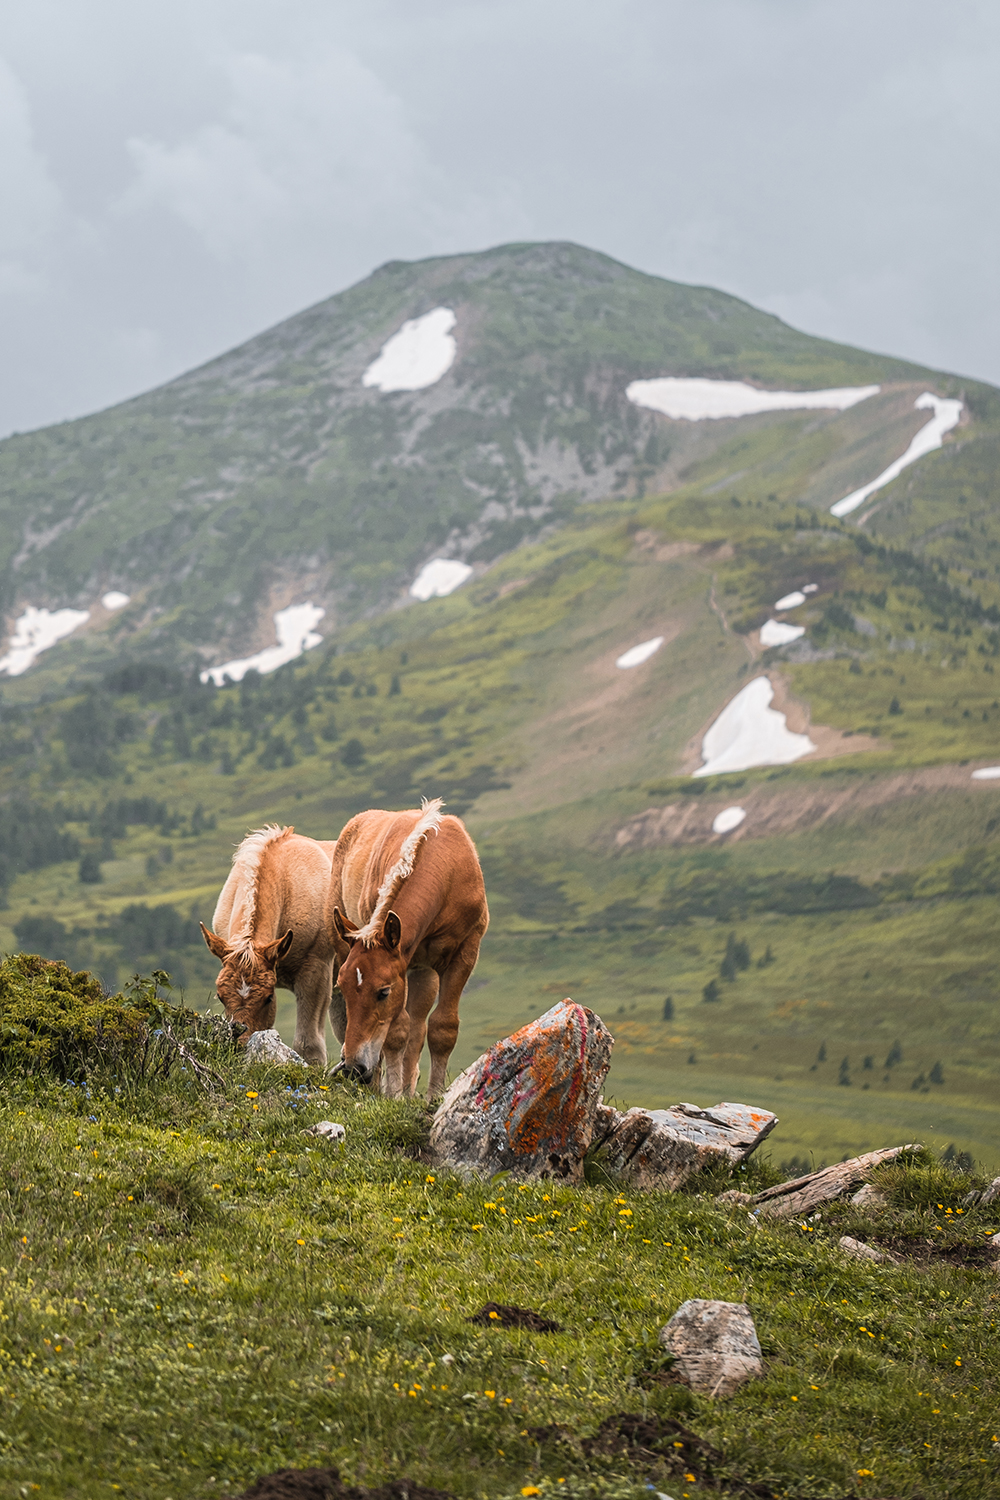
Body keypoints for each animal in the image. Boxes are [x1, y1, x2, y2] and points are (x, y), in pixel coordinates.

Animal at [328, 804, 488, 1098]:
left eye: (383, 992)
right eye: (342, 986)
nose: (354, 1067)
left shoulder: (464, 954)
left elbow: (442, 1028)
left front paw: (433, 1096)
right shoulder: (402, 963)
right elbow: (396, 1031)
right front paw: (392, 1094)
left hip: (424, 973)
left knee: (417, 1029)